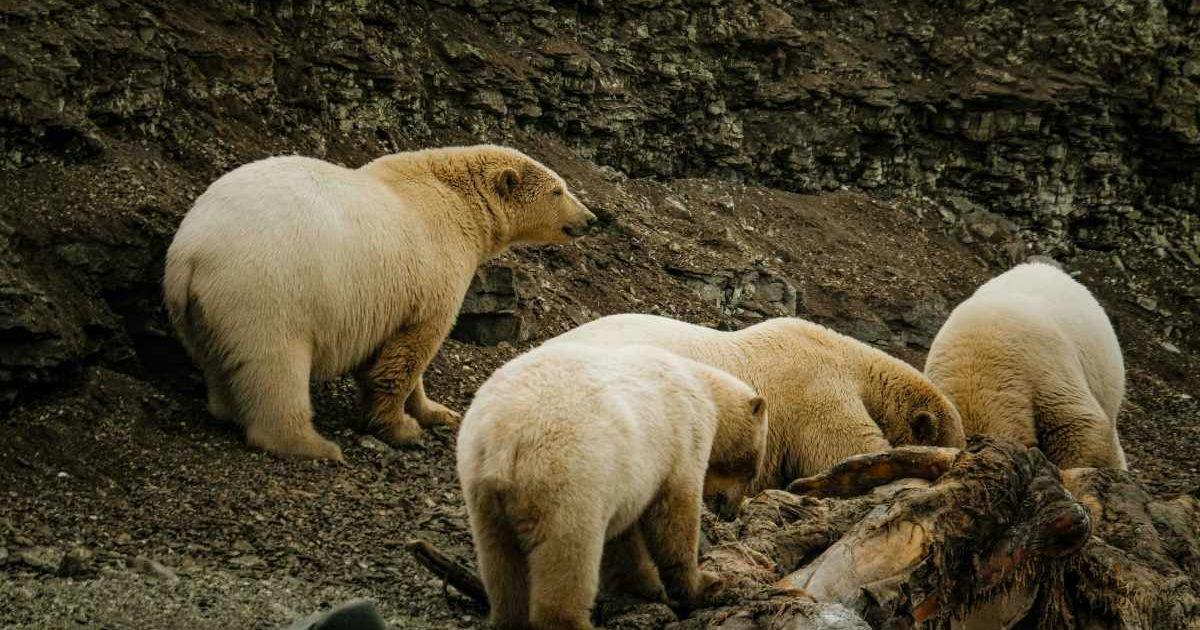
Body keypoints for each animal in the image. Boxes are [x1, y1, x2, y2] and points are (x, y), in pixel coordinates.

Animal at [163, 145, 597, 461]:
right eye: (559, 190)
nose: (592, 218)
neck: (457, 200)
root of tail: (190, 254)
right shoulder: (431, 269)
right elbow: (409, 352)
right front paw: (400, 427)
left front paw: (437, 411)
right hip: (265, 290)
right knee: (275, 366)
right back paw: (313, 445)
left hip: (202, 310)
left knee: (219, 359)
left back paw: (226, 409)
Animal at [456, 342, 769, 630]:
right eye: (751, 470)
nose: (732, 512)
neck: (704, 388)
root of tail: (506, 437)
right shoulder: (683, 438)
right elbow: (673, 517)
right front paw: (706, 584)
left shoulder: (628, 478)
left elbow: (624, 538)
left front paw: (646, 586)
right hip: (568, 476)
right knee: (568, 556)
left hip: (480, 485)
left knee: (500, 562)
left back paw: (509, 615)